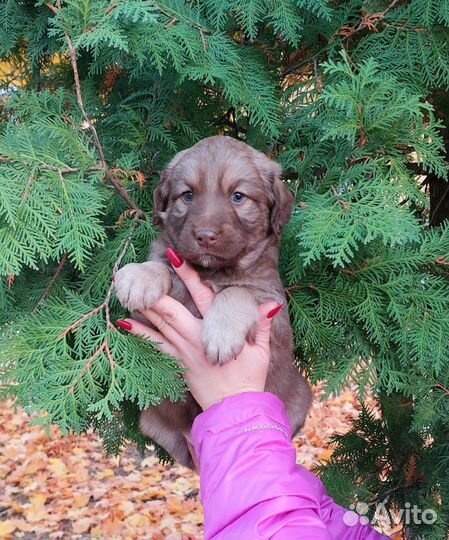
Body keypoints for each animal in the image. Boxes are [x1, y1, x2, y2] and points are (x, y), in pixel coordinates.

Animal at [114, 136, 312, 468]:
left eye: (238, 196)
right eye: (187, 195)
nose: (205, 236)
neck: (212, 273)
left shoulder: (273, 308)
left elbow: (238, 292)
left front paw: (221, 334)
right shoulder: (148, 318)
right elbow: (165, 266)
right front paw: (140, 276)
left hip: (299, 396)